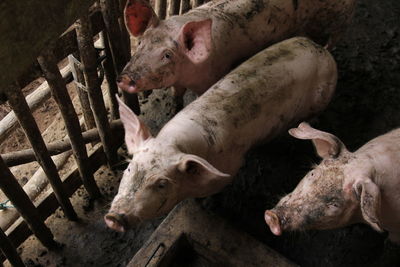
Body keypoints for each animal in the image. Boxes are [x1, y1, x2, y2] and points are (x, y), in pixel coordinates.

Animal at [104, 37, 338, 232]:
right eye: (129, 168)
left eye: (162, 184)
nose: (114, 218)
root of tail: (322, 49)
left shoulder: (230, 168)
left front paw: (207, 206)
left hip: (322, 99)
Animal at [116, 0, 356, 97]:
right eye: (140, 43)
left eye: (167, 55)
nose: (126, 78)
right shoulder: (179, 82)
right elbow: (176, 95)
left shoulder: (211, 77)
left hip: (341, 15)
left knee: (338, 34)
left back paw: (326, 47)